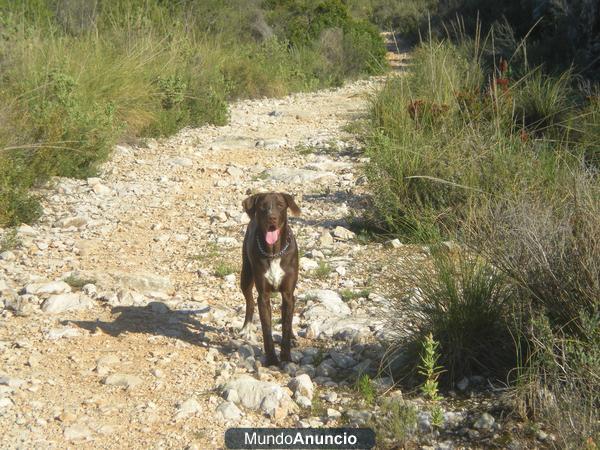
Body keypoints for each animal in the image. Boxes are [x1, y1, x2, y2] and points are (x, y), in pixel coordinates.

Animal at [240, 192, 300, 366]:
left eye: (280, 205)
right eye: (263, 206)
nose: (271, 218)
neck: (274, 252)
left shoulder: (288, 294)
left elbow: (286, 325)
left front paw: (286, 357)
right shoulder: (263, 296)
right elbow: (266, 329)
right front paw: (272, 359)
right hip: (245, 275)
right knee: (249, 302)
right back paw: (246, 329)